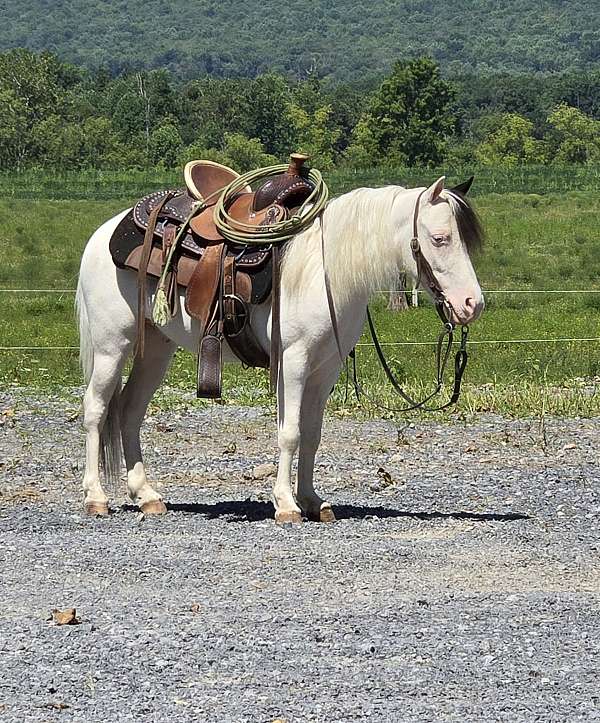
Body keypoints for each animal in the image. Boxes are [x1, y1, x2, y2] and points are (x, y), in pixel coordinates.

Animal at [76, 175, 484, 524]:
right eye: (440, 238)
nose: (472, 304)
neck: (324, 269)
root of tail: (103, 233)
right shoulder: (294, 361)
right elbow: (290, 432)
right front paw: (286, 504)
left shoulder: (326, 367)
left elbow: (312, 433)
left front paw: (312, 501)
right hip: (112, 344)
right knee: (96, 409)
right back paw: (96, 498)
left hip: (156, 349)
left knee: (129, 411)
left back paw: (147, 496)